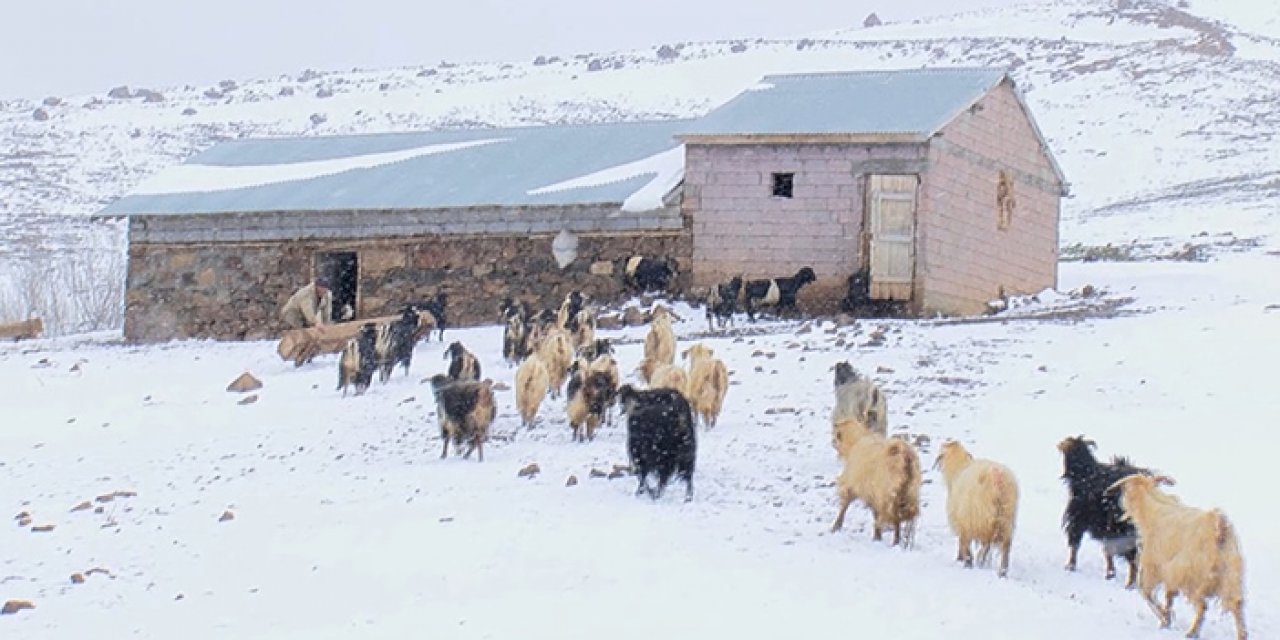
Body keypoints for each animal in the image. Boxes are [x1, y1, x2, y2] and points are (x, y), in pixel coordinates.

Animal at [936, 442, 1013, 578]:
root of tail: (997, 478)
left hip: (980, 517)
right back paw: (1002, 571)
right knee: (1004, 546)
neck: (957, 470)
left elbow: (963, 542)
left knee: (986, 543)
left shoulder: (962, 522)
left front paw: (962, 559)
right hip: (1005, 519)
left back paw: (977, 561)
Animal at [1054, 432, 1157, 586]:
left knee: (1132, 556)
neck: (1084, 473)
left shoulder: (1077, 518)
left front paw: (1070, 566)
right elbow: (1107, 550)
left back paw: (1130, 584)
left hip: (1123, 529)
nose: (1059, 444)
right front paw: (1110, 574)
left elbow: (1075, 544)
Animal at [1105, 476, 1244, 640]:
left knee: (1202, 606)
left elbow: (1147, 593)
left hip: (1193, 577)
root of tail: (1218, 528)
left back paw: (1192, 632)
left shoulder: (1154, 568)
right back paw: (1242, 635)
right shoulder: (1170, 574)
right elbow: (1169, 597)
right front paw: (1166, 620)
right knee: (1236, 605)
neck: (1152, 509)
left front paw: (1164, 618)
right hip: (1230, 577)